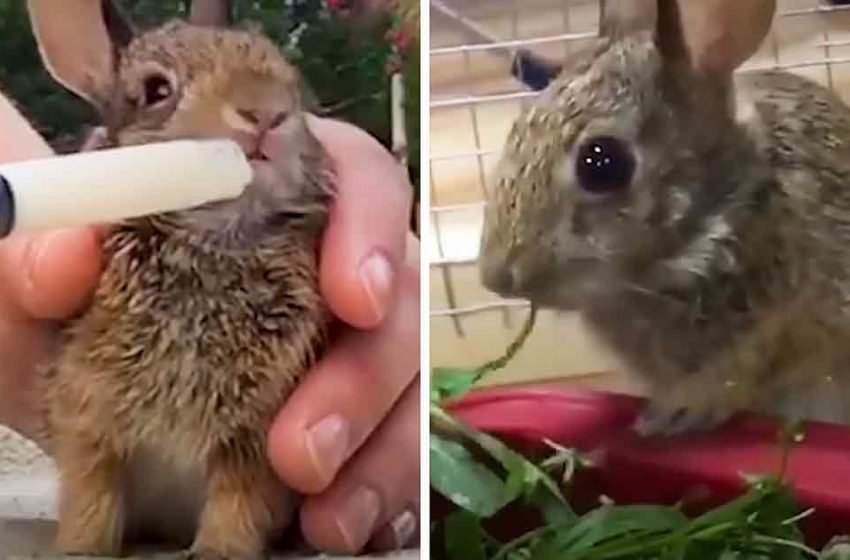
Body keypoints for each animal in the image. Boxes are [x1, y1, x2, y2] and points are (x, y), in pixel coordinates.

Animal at [27, 0, 332, 556]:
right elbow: (91, 494)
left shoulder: (254, 434)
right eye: (155, 90)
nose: (265, 112)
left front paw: (217, 551)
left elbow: (238, 503)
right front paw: (79, 548)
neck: (211, 241)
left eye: (293, 84)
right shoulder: (88, 415)